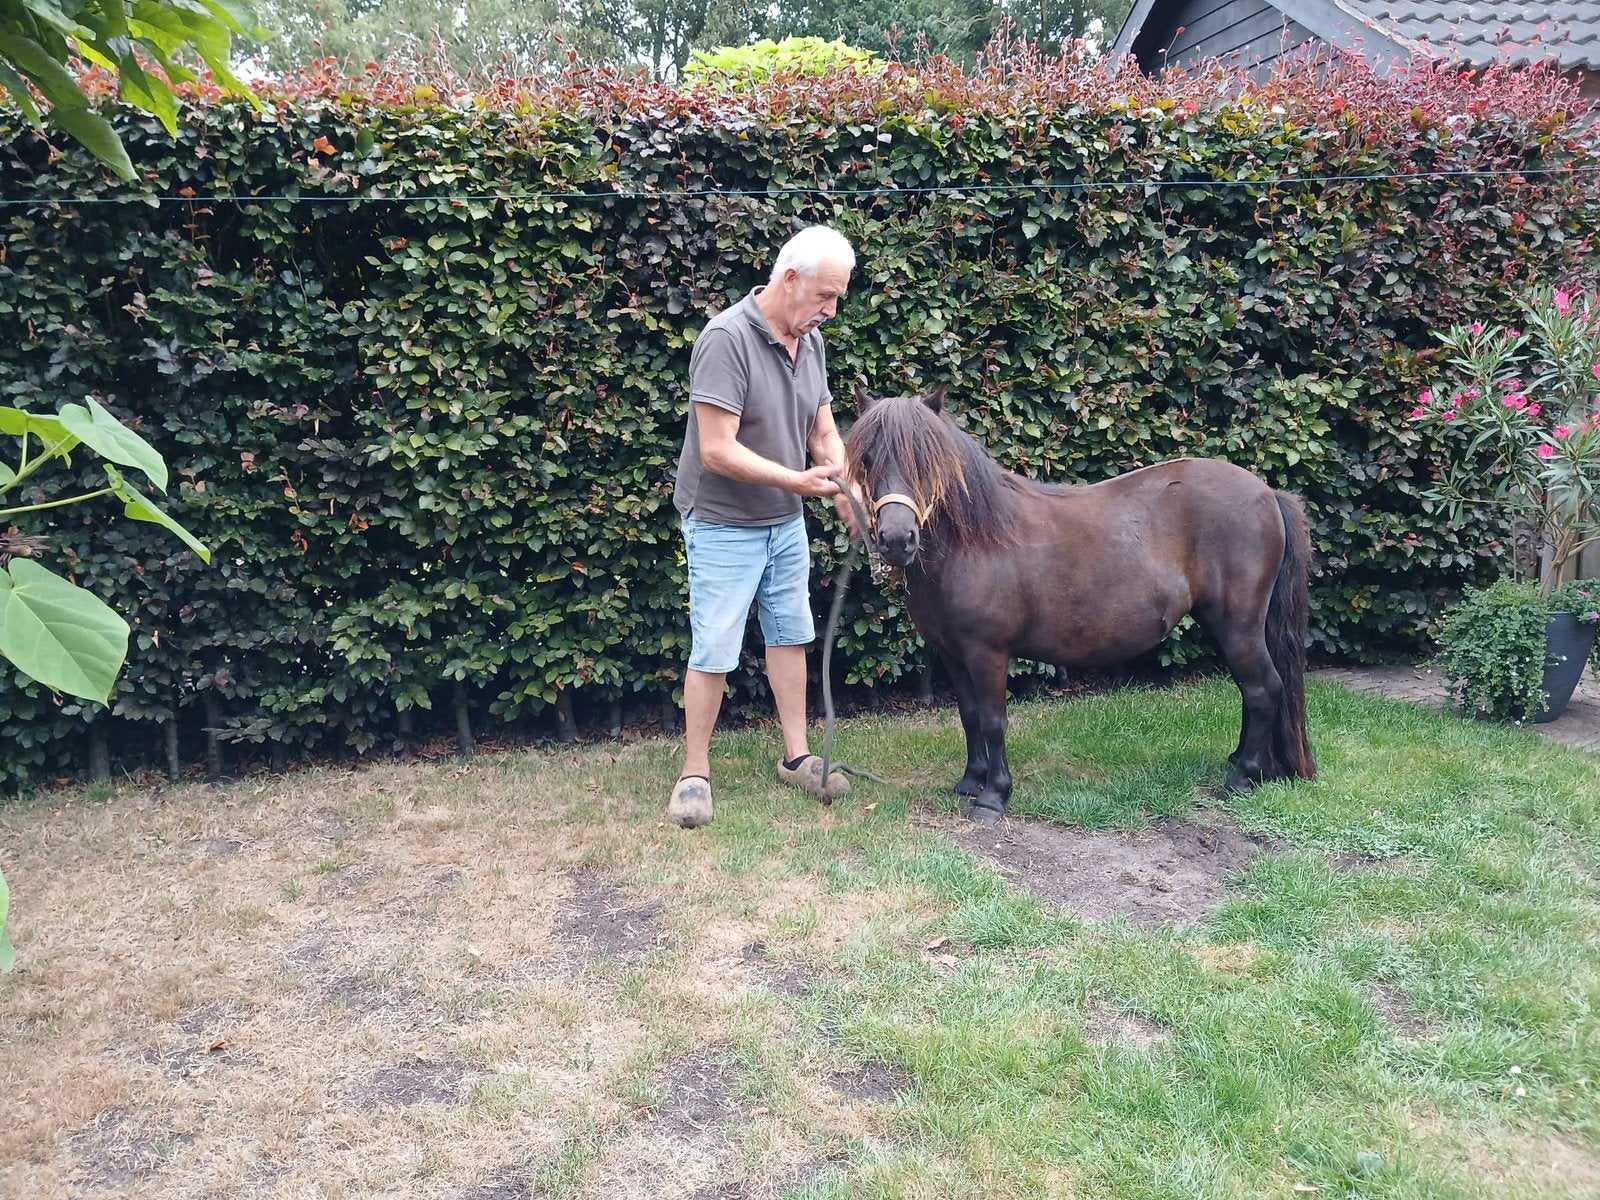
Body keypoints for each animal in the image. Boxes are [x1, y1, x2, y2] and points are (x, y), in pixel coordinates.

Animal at [844, 386, 1316, 824]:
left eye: (927, 462)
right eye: (867, 459)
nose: (897, 540)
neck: (975, 541)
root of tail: (1269, 494)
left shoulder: (987, 653)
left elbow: (994, 721)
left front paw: (993, 796)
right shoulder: (953, 654)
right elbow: (970, 716)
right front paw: (970, 781)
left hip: (1238, 625)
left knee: (1263, 689)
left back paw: (1242, 777)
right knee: (1250, 689)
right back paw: (1246, 764)